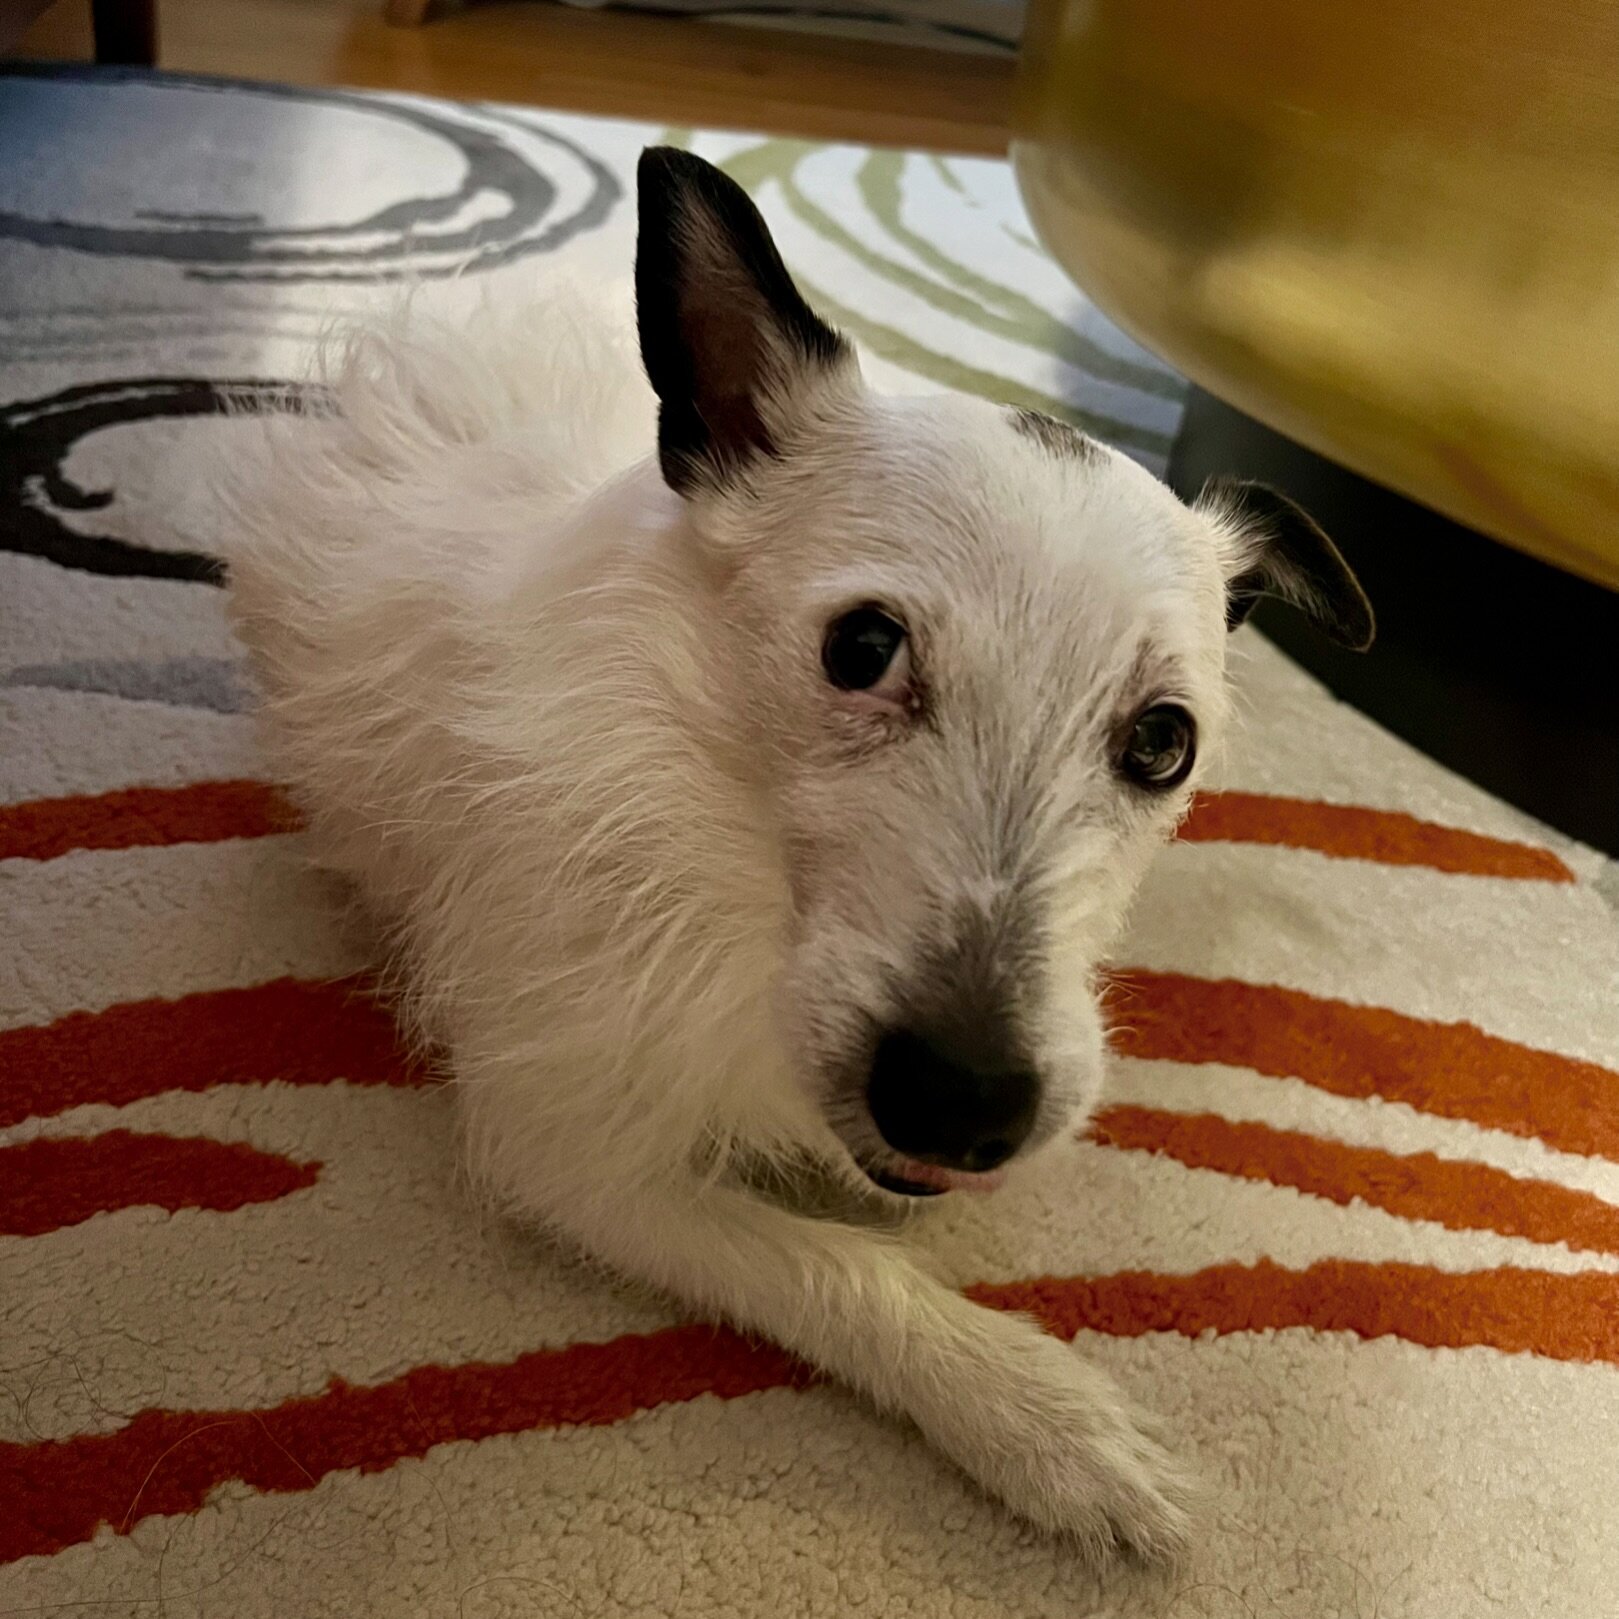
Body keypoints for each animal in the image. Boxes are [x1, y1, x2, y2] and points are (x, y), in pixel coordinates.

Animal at [221, 145, 1372, 1560]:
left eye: (1162, 741)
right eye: (861, 648)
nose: (962, 1100)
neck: (732, 856)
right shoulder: (568, 1148)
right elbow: (830, 1263)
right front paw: (1045, 1419)